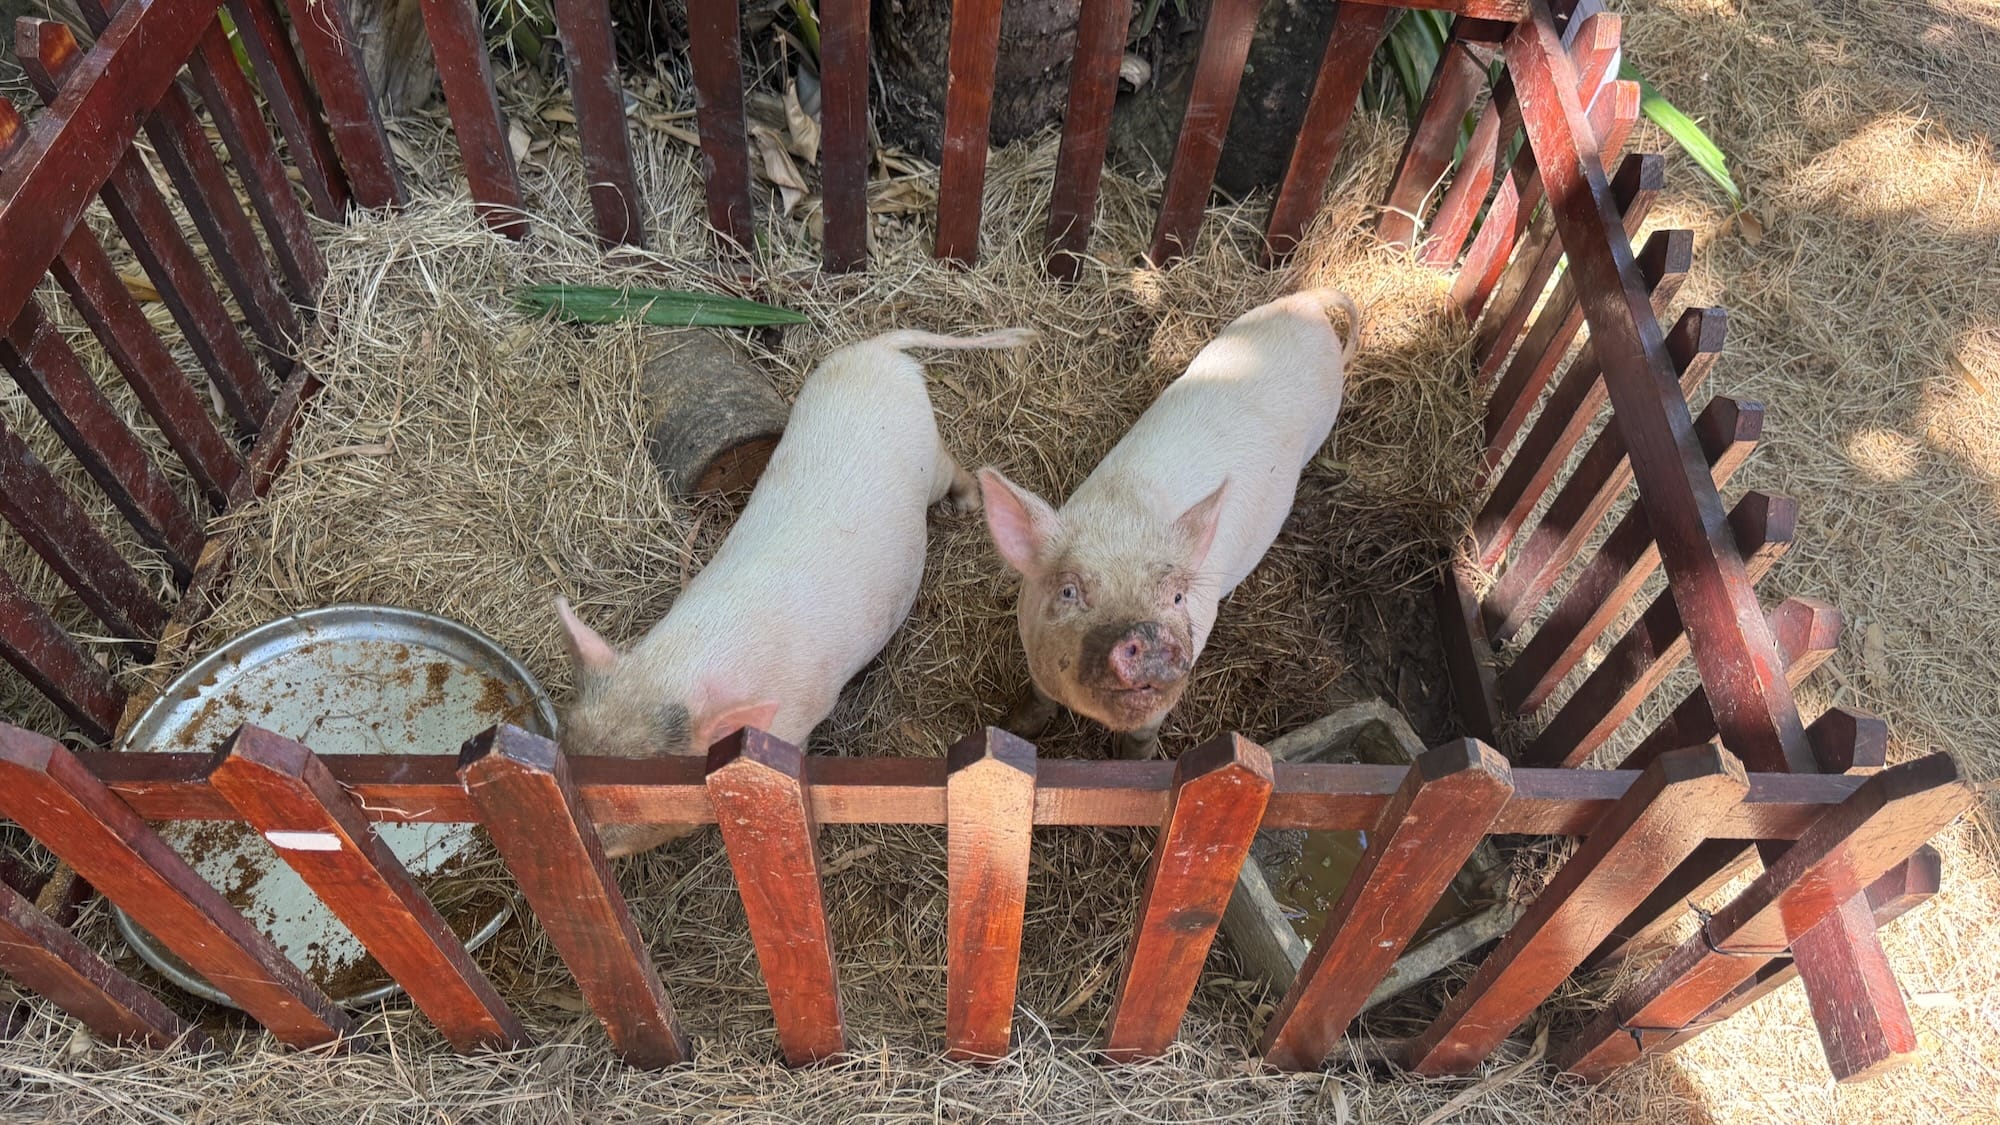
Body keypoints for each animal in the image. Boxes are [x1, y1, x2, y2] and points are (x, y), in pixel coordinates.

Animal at [555, 326, 1035, 856]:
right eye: (566, 748)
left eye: (637, 802)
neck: (678, 669)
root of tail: (876, 348)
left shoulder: (799, 718)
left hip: (928, 454)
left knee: (953, 466)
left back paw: (967, 506)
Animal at [977, 288, 1361, 760]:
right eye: (1068, 590)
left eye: (1177, 597)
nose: (1149, 633)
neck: (1124, 514)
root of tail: (1307, 305)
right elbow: (1039, 698)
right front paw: (1012, 726)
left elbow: (1141, 740)